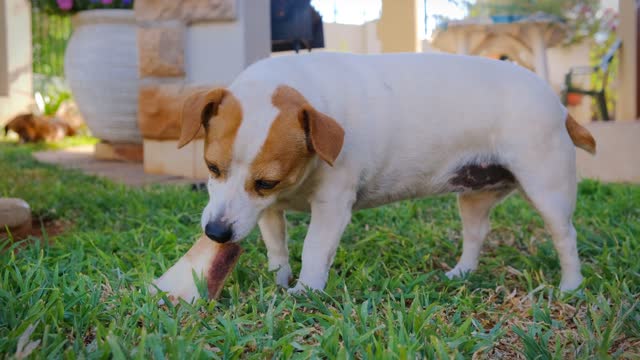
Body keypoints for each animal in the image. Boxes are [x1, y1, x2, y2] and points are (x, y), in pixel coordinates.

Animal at [150, 50, 596, 298]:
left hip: (547, 188)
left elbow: (314, 249)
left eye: (266, 181)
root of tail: (558, 104)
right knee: (475, 234)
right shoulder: (268, 211)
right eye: (212, 167)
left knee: (566, 237)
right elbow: (277, 246)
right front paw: (280, 280)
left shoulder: (329, 206)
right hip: (473, 195)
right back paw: (461, 273)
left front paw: (304, 292)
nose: (216, 234)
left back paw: (571, 286)